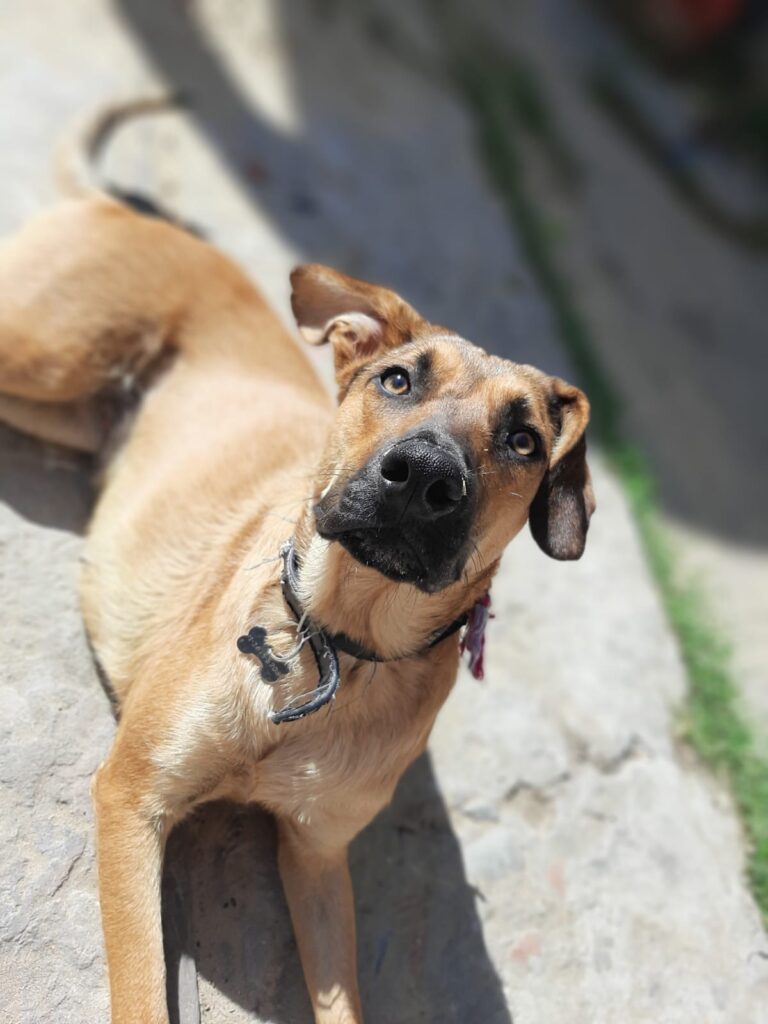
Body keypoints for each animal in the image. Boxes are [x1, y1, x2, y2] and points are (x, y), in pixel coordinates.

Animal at [0, 195, 594, 1023]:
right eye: (398, 381)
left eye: (523, 440)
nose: (423, 477)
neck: (337, 643)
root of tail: (123, 206)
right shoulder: (133, 794)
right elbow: (144, 992)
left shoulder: (317, 855)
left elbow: (342, 998)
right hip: (46, 353)